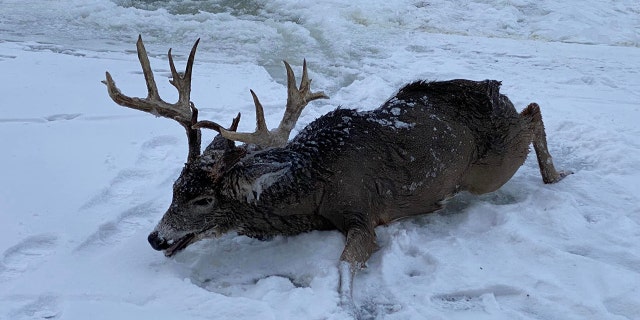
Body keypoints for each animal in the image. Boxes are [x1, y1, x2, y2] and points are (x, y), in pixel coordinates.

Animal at [102, 36, 572, 308]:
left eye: (202, 199)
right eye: (174, 188)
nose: (155, 237)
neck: (314, 185)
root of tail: (495, 90)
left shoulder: (363, 213)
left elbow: (345, 269)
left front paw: (344, 308)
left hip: (488, 170)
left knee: (533, 112)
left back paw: (556, 176)